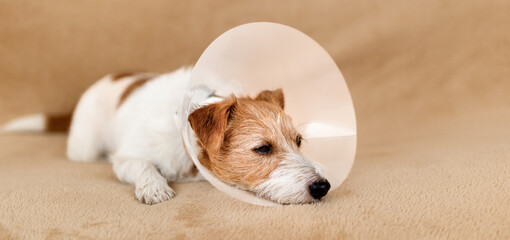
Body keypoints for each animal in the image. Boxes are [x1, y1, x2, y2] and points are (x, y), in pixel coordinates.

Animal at [1, 67, 330, 204]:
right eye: (263, 148)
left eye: (299, 142)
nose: (322, 186)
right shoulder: (128, 158)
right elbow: (144, 166)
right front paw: (154, 188)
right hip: (84, 148)